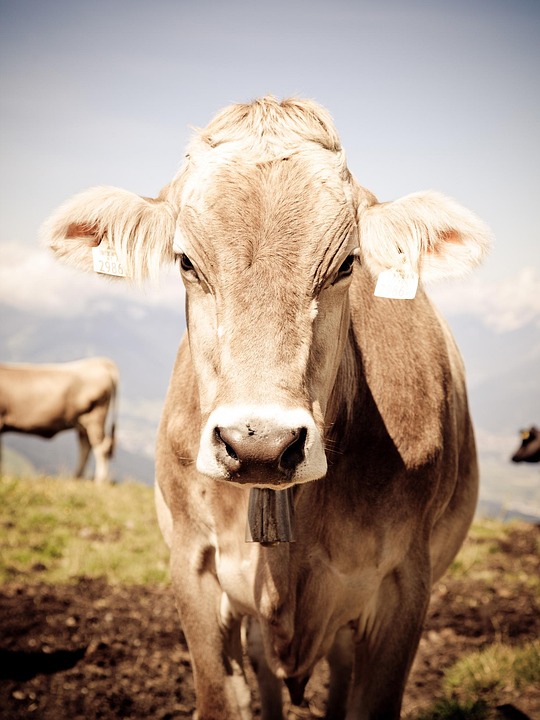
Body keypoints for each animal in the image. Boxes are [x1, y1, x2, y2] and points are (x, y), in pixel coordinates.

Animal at [43, 96, 491, 719]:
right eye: (186, 262)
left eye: (347, 264)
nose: (260, 443)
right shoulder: (195, 567)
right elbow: (220, 696)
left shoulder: (405, 584)